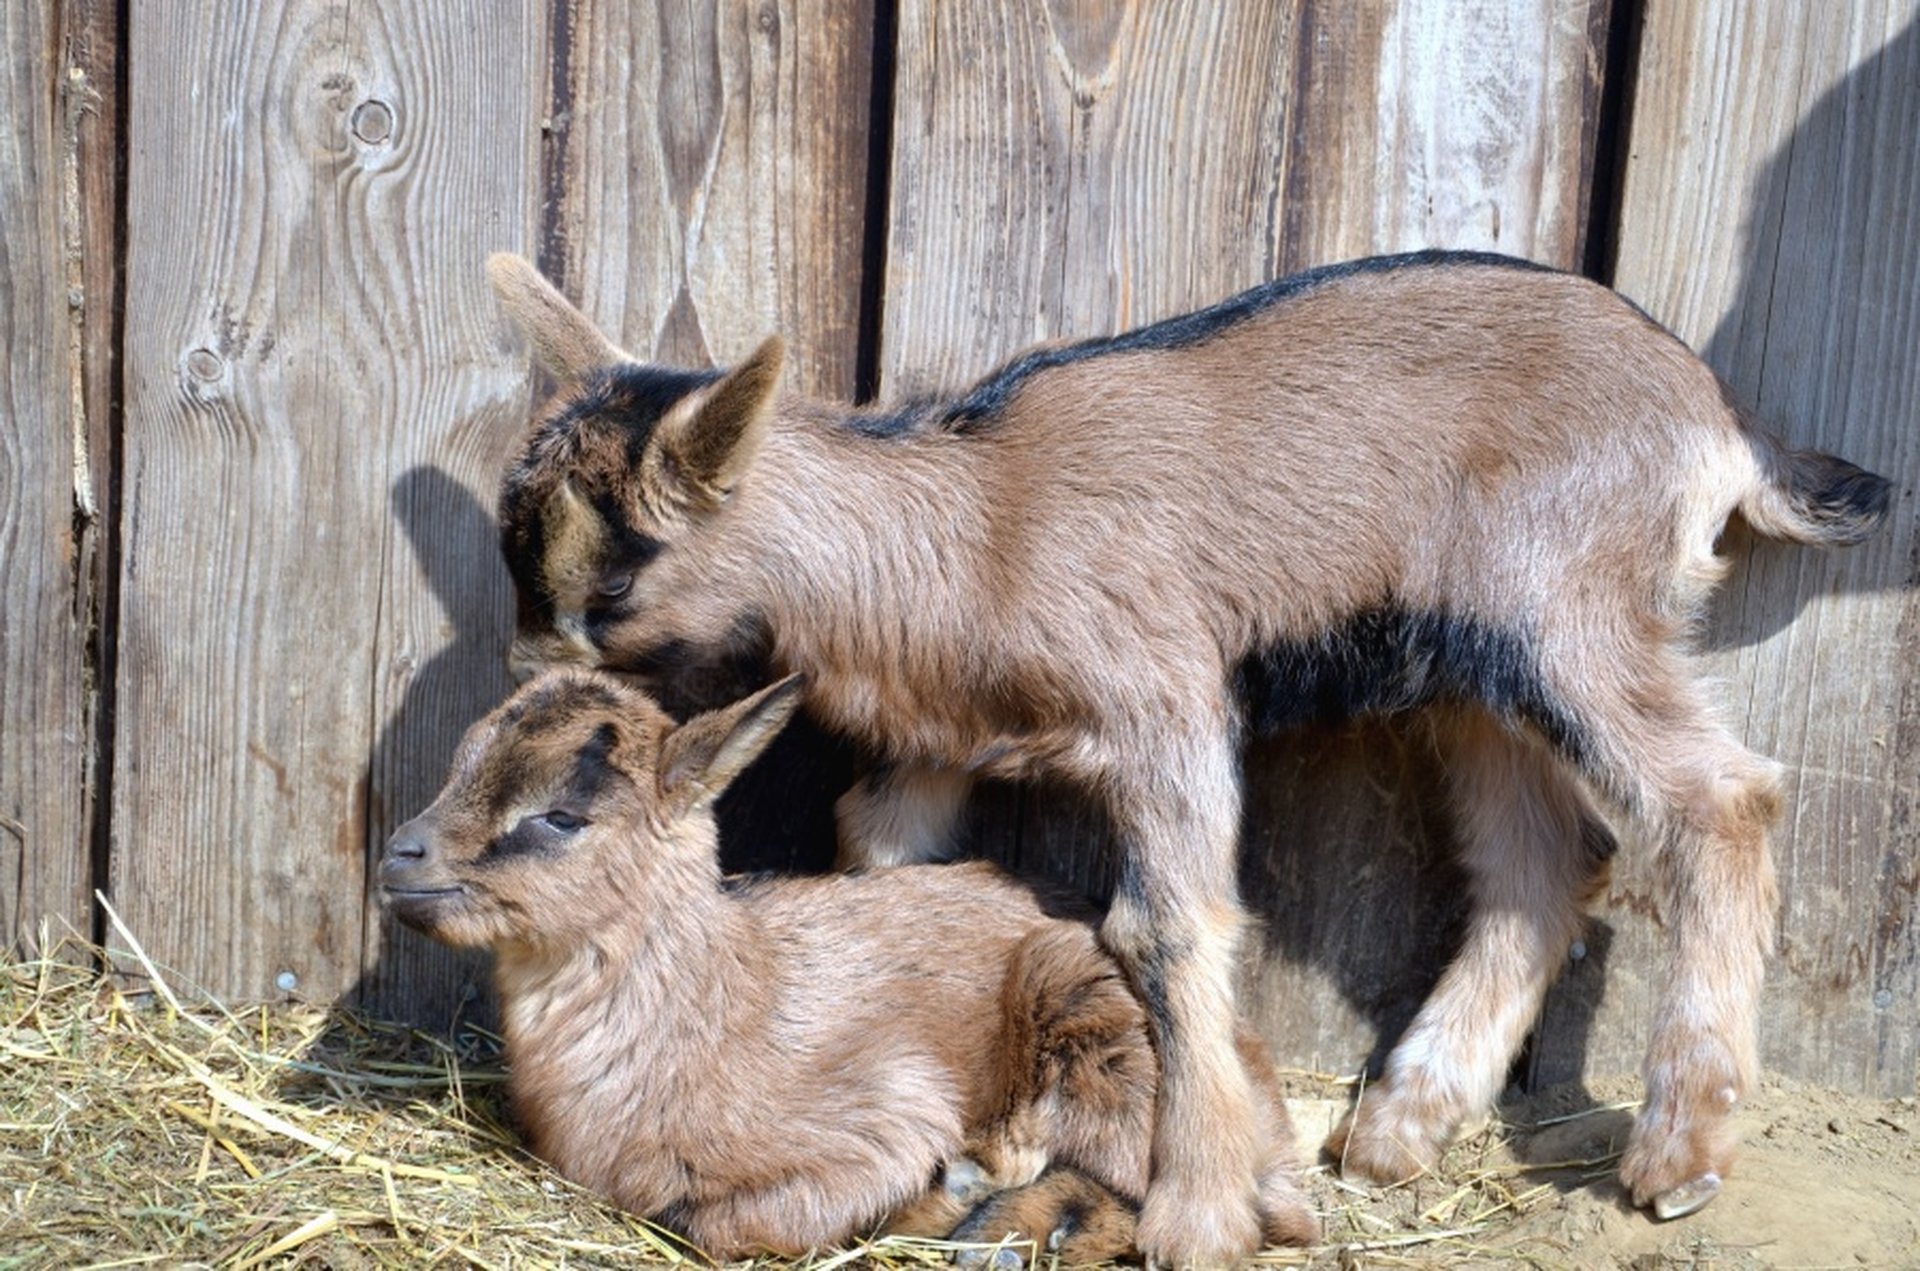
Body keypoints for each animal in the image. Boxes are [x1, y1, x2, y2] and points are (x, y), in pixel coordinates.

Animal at [379, 668, 1317, 1259]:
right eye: (460, 763)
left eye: (562, 816)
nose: (399, 855)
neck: (716, 1002)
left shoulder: (887, 1111)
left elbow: (715, 1222)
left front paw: (946, 1192)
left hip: (1099, 1029)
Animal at [482, 248, 1892, 1259]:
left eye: (613, 586)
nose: (522, 694)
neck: (972, 526)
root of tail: (1720, 414)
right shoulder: (945, 745)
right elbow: (888, 861)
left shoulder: (1163, 700)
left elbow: (1167, 924)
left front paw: (1201, 1211)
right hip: (1468, 670)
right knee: (1546, 859)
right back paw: (1401, 1121)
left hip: (1569, 614)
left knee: (1723, 798)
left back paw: (1678, 1153)